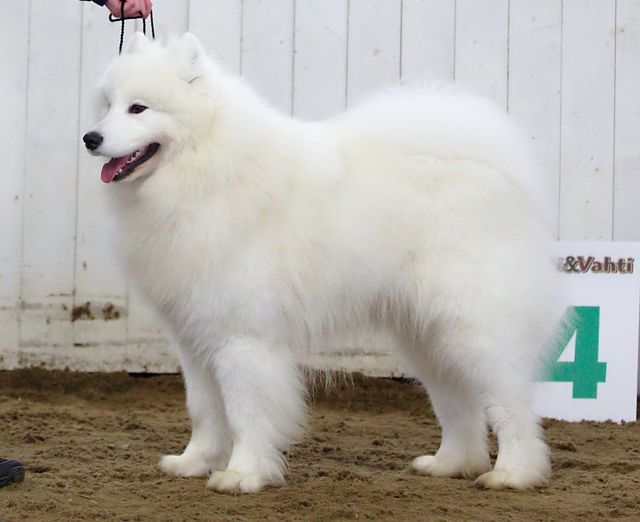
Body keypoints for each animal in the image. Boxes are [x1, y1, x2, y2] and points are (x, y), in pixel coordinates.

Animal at [84, 32, 560, 492]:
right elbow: (203, 410)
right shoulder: (195, 339)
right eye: (107, 106)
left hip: (474, 330)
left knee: (511, 405)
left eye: (138, 108)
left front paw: (242, 475)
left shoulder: (242, 338)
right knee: (459, 404)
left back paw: (513, 474)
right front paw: (194, 463)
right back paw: (450, 464)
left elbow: (245, 412)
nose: (91, 138)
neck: (207, 170)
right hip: (426, 336)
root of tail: (488, 170)